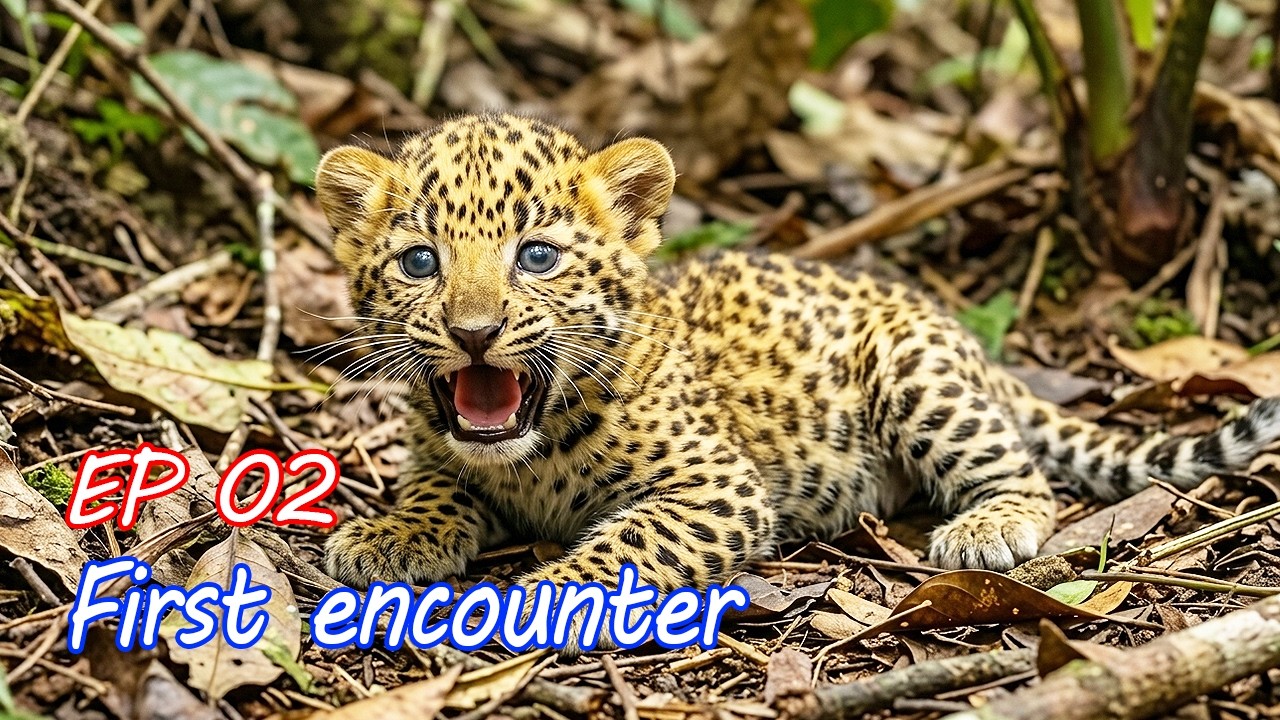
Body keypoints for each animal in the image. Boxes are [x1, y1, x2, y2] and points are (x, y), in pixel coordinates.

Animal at [314, 112, 1280, 644]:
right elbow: (434, 483)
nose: (474, 334)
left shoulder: (717, 485)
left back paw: (985, 528)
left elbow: (625, 547)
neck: (533, 449)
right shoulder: (439, 450)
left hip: (912, 371)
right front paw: (391, 536)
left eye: (538, 256)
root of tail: (963, 339)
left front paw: (541, 597)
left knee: (1025, 476)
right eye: (420, 261)